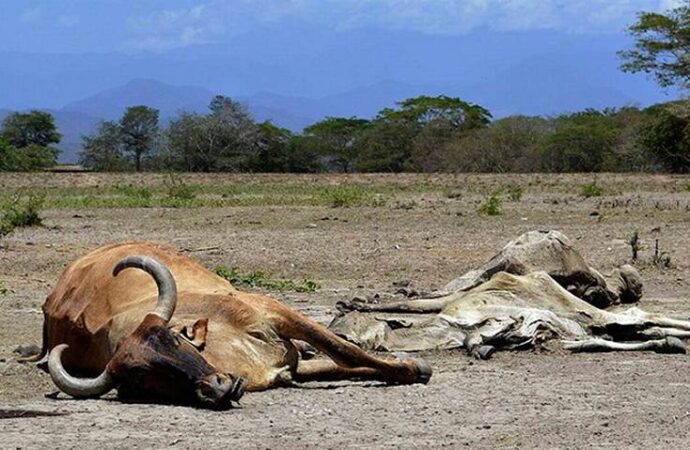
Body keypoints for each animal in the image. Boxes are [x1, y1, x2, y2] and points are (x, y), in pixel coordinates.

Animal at [25, 243, 430, 408]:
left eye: (174, 341)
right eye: (140, 377)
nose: (217, 386)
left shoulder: (277, 313)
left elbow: (344, 351)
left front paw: (413, 368)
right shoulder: (289, 370)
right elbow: (341, 363)